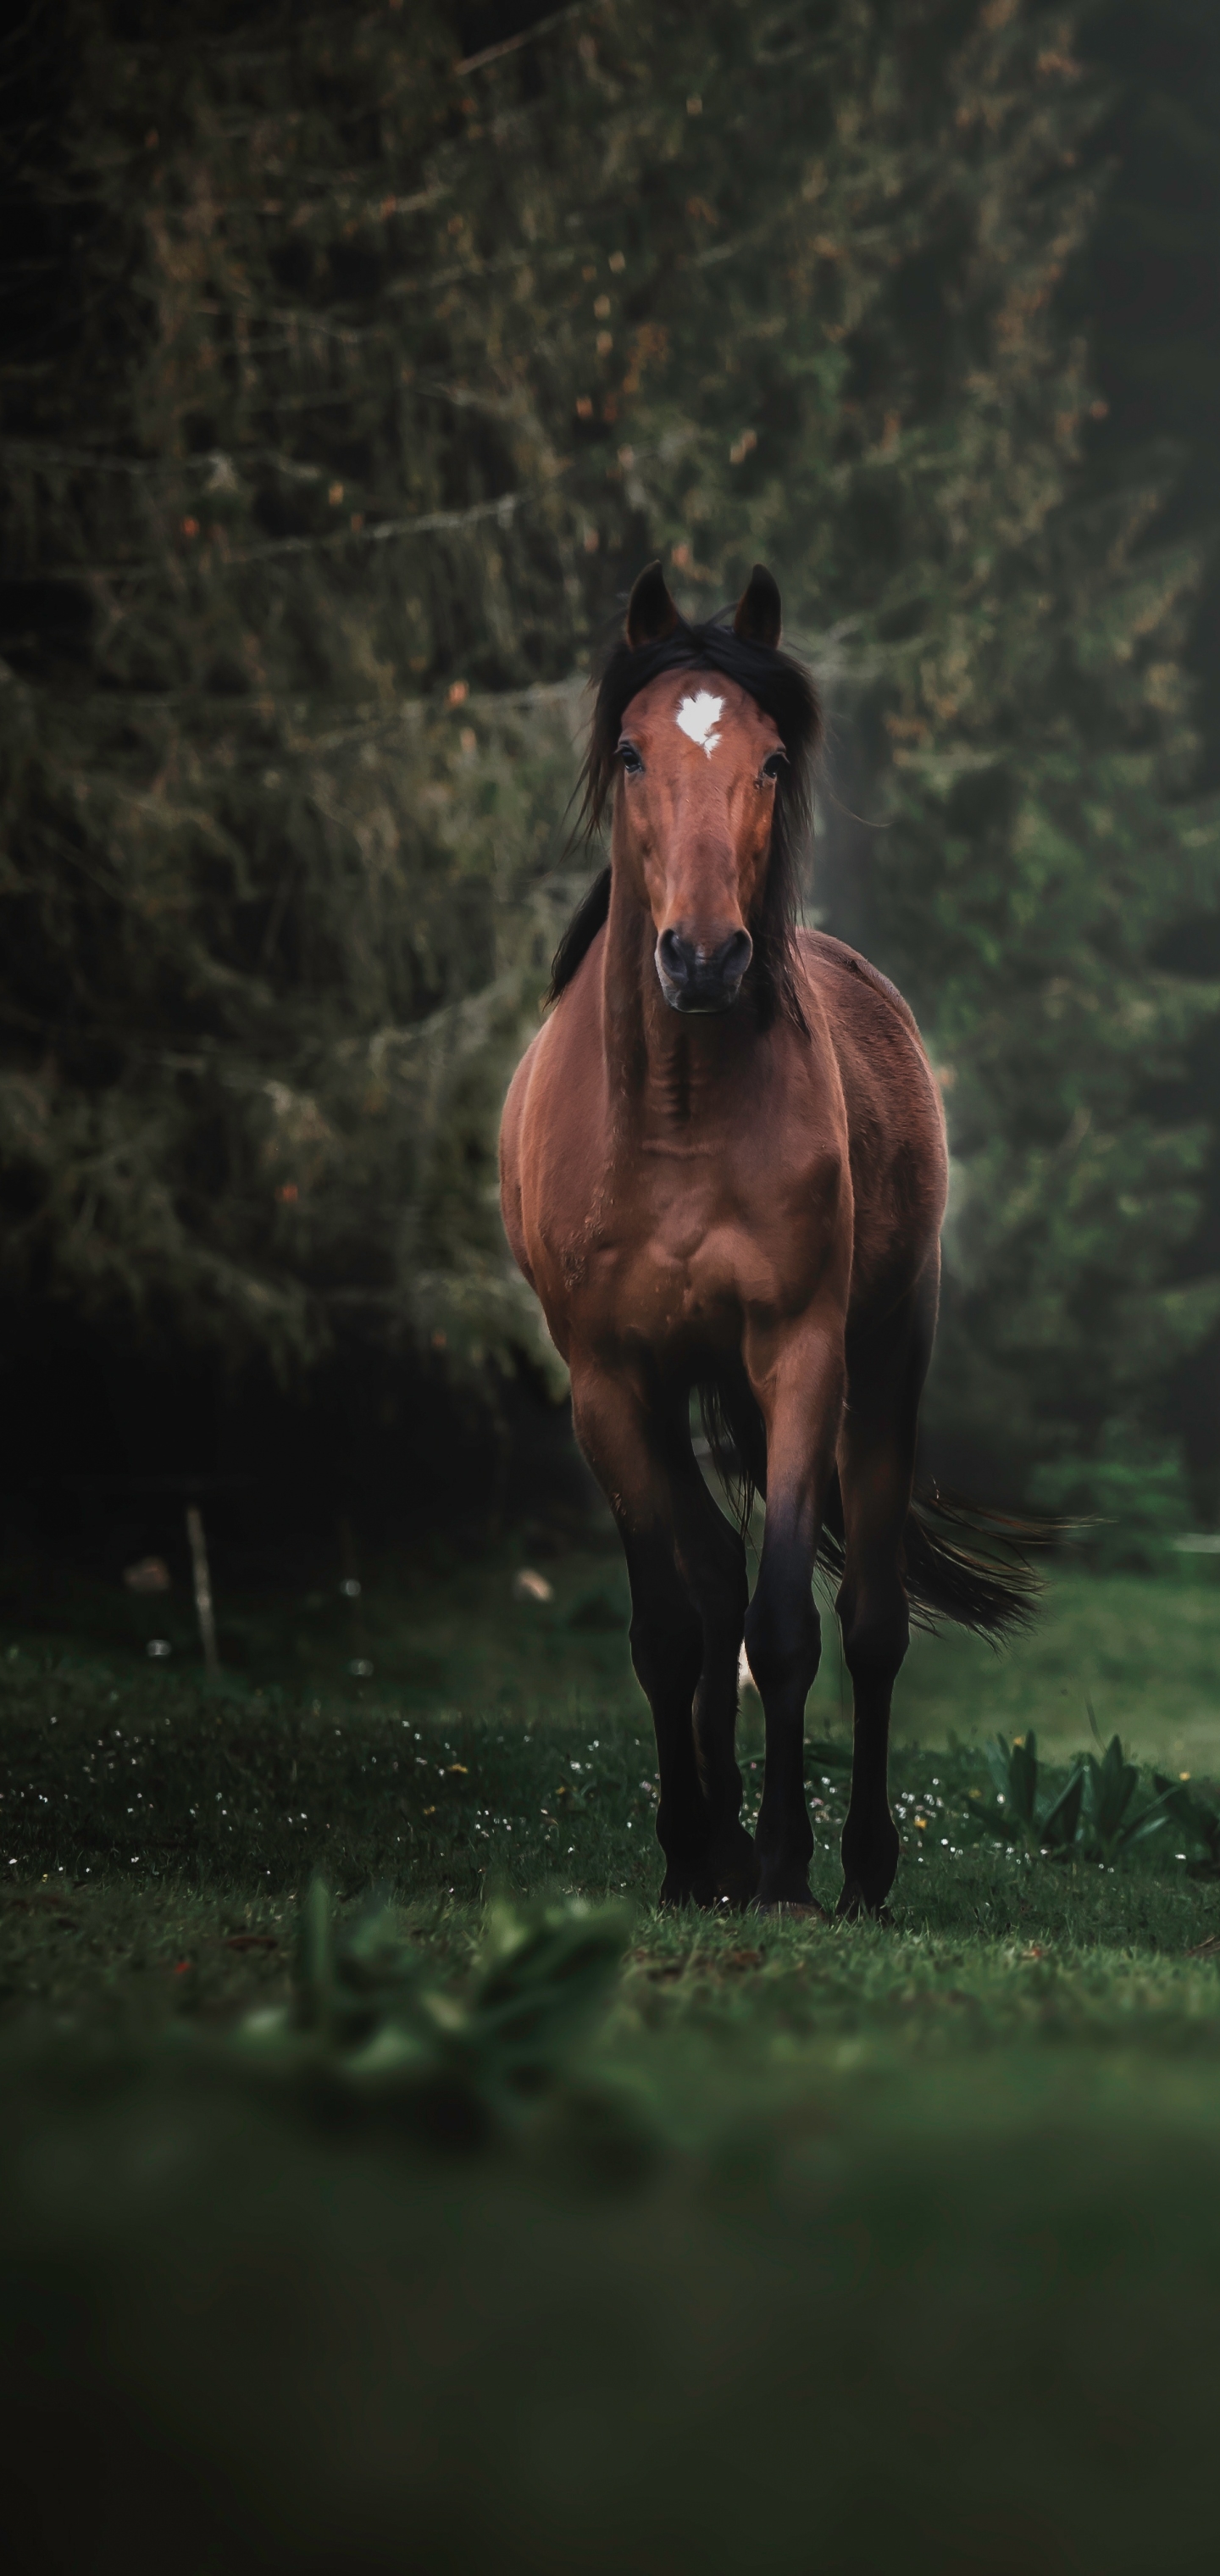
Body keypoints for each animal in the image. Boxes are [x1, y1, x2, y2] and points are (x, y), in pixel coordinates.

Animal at [499, 569, 1034, 1937]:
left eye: (774, 758)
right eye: (633, 752)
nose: (702, 956)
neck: (678, 1114)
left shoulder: (800, 1360)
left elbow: (787, 1624)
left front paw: (788, 1869)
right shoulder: (610, 1385)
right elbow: (672, 1628)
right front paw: (695, 1855)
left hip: (885, 1360)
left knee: (869, 1618)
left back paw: (859, 1867)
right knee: (706, 1570)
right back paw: (725, 1844)